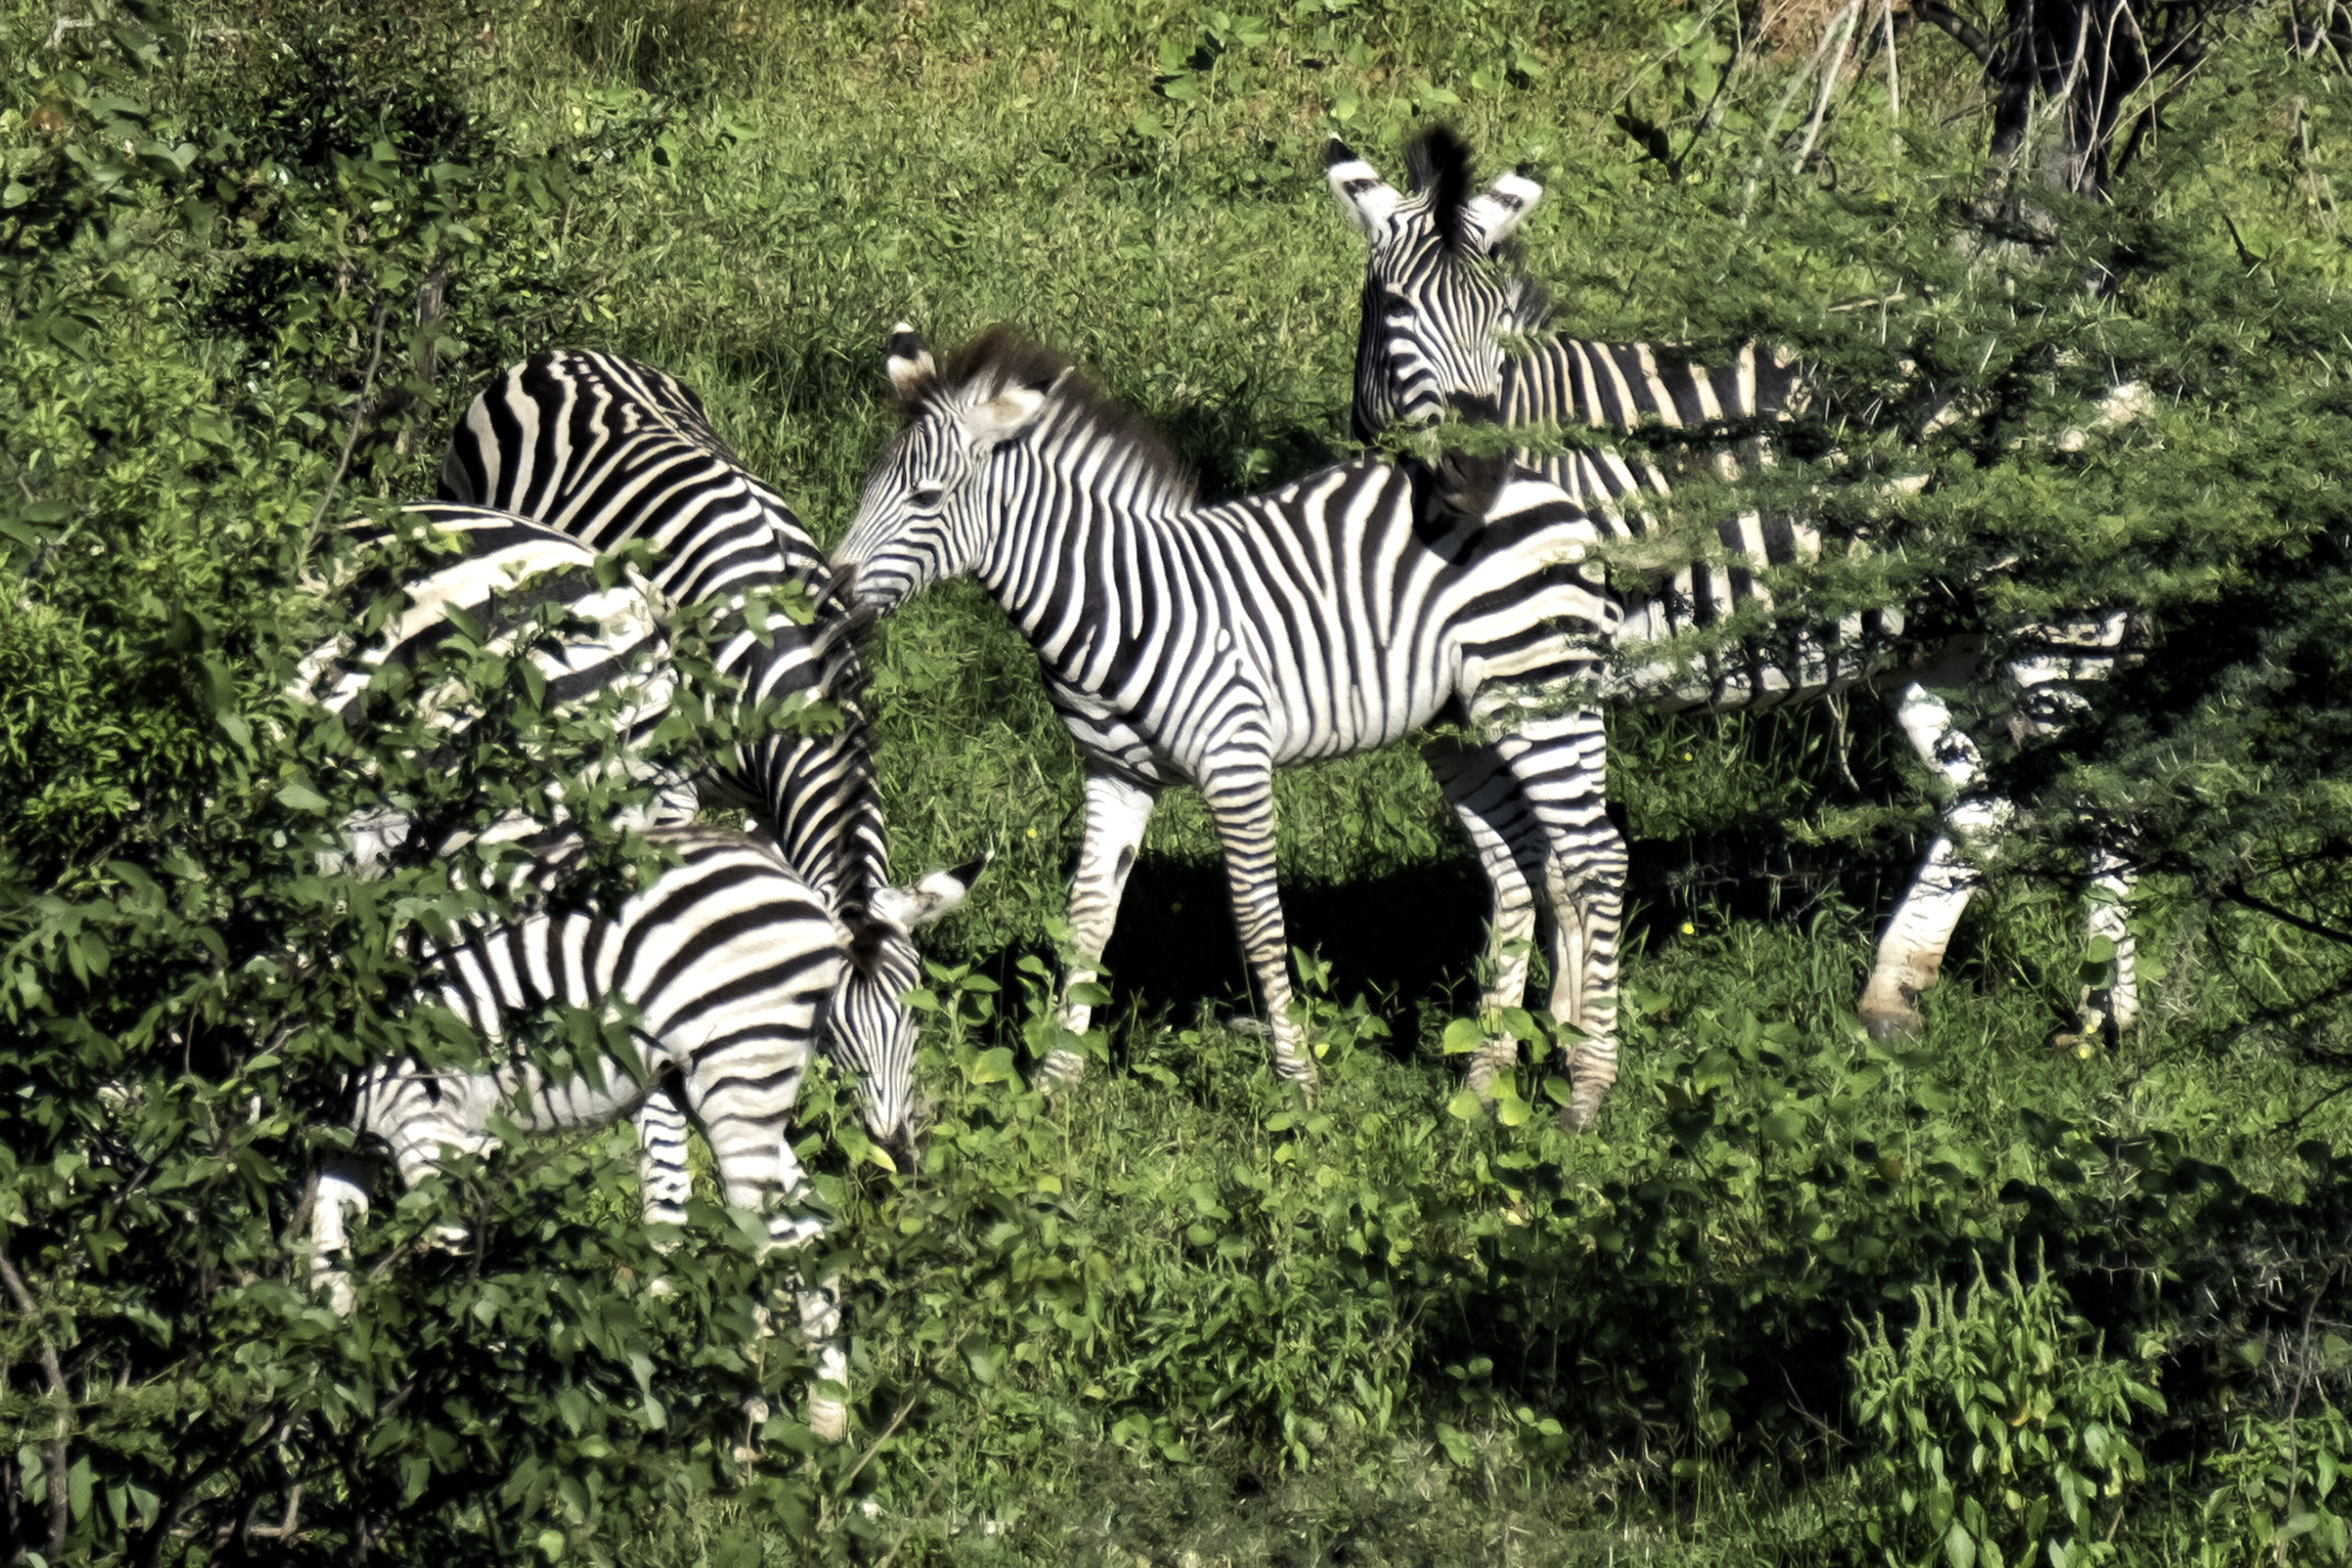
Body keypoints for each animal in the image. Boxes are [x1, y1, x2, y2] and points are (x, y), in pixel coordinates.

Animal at [308, 822, 866, 1448]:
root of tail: (801, 892)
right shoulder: (354, 1144)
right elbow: (328, 1261)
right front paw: (329, 1402)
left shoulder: (426, 1131)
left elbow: (453, 1263)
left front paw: (469, 1398)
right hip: (721, 1083)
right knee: (810, 1227)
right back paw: (825, 1419)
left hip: (740, 1062)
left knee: (760, 1245)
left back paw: (740, 1427)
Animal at [442, 355, 983, 1161]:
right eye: (830, 1024)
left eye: (915, 1005)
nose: (897, 1151)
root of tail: (560, 354)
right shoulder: (673, 788)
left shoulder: (772, 798)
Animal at [833, 324, 1637, 1123]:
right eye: (870, 484)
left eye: (926, 496)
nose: (831, 593)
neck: (1116, 598)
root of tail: (1546, 487)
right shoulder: (1115, 774)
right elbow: (1088, 915)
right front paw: (1053, 1082)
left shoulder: (1235, 761)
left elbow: (1255, 916)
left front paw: (1299, 1080)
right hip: (1463, 724)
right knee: (1520, 863)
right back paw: (1493, 1072)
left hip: (1537, 689)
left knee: (1595, 857)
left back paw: (1587, 1087)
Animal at [1327, 128, 2154, 1048]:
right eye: (1396, 308)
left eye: (1500, 322)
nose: (1476, 473)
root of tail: (2102, 359)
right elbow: (1513, 862)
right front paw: (1507, 1029)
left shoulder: (1556, 679)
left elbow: (1559, 861)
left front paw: (1562, 1026)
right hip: (1938, 647)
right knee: (1984, 802)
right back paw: (1894, 996)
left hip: (2056, 633)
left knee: (2107, 799)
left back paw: (2106, 1019)